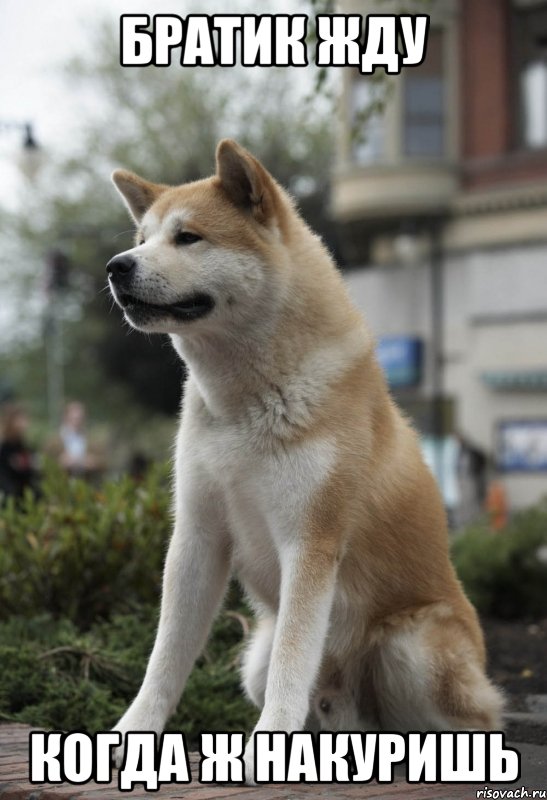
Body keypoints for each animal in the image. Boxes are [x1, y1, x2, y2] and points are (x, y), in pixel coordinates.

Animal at [107, 139, 506, 780]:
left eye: (188, 237)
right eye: (143, 238)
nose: (117, 266)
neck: (245, 403)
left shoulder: (311, 540)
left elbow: (295, 659)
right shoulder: (197, 536)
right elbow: (165, 658)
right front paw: (132, 736)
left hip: (411, 648)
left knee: (466, 723)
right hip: (256, 659)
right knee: (330, 710)